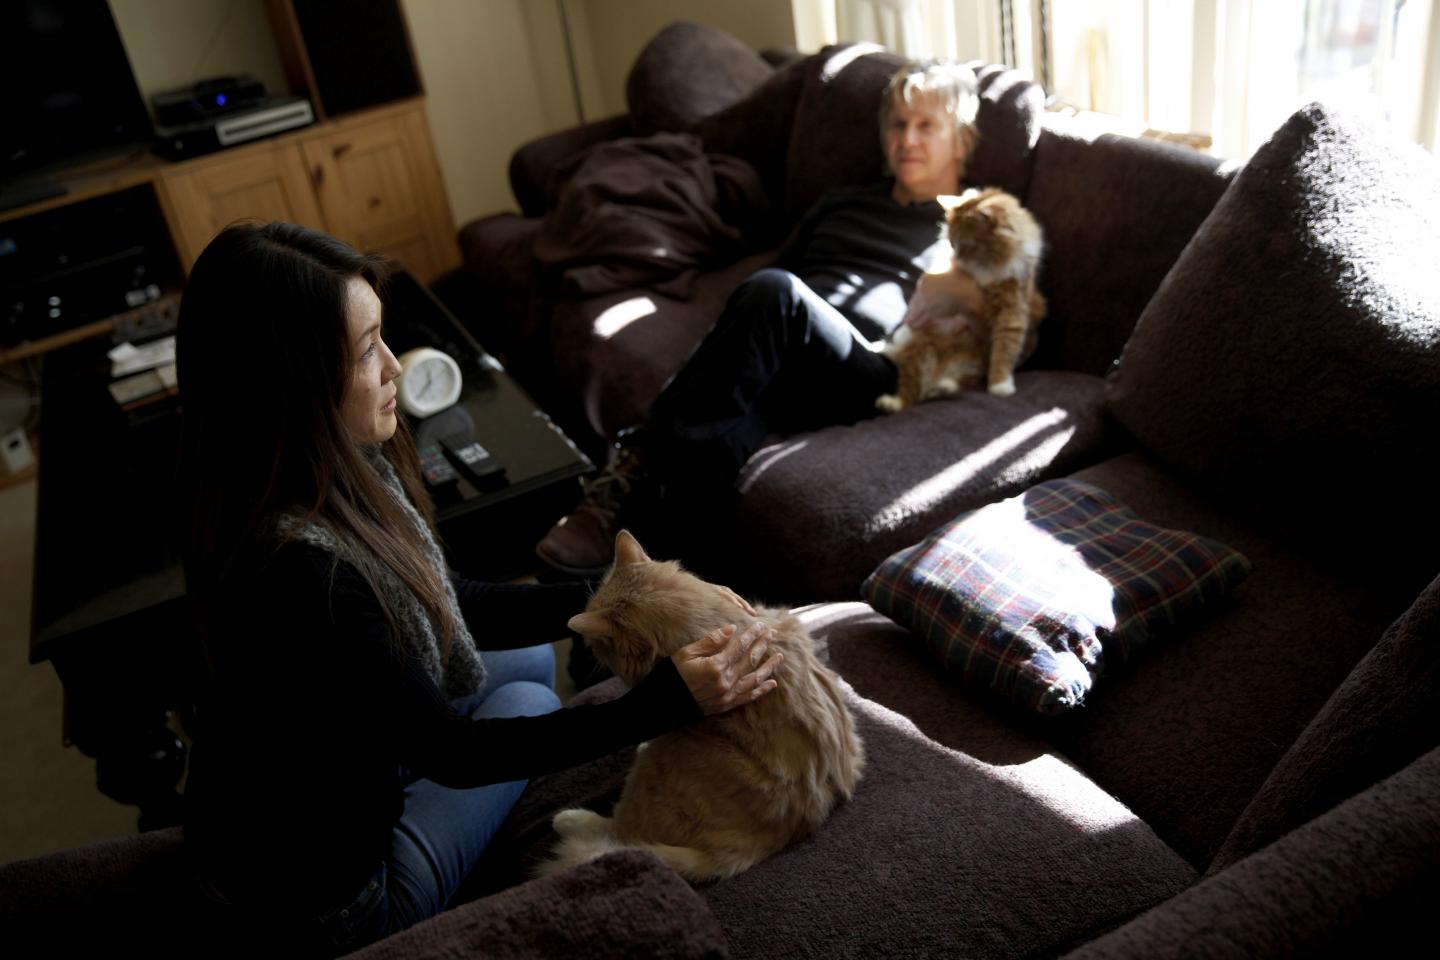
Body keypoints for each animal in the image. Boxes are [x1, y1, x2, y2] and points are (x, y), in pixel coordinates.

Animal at [875, 187, 1048, 408]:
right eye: (951, 243)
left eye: (967, 245)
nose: (956, 257)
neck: (988, 268)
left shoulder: (1012, 306)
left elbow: (1005, 348)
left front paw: (1000, 386)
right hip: (918, 350)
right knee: (909, 393)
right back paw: (890, 398)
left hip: (963, 368)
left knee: (931, 389)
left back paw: (942, 386)